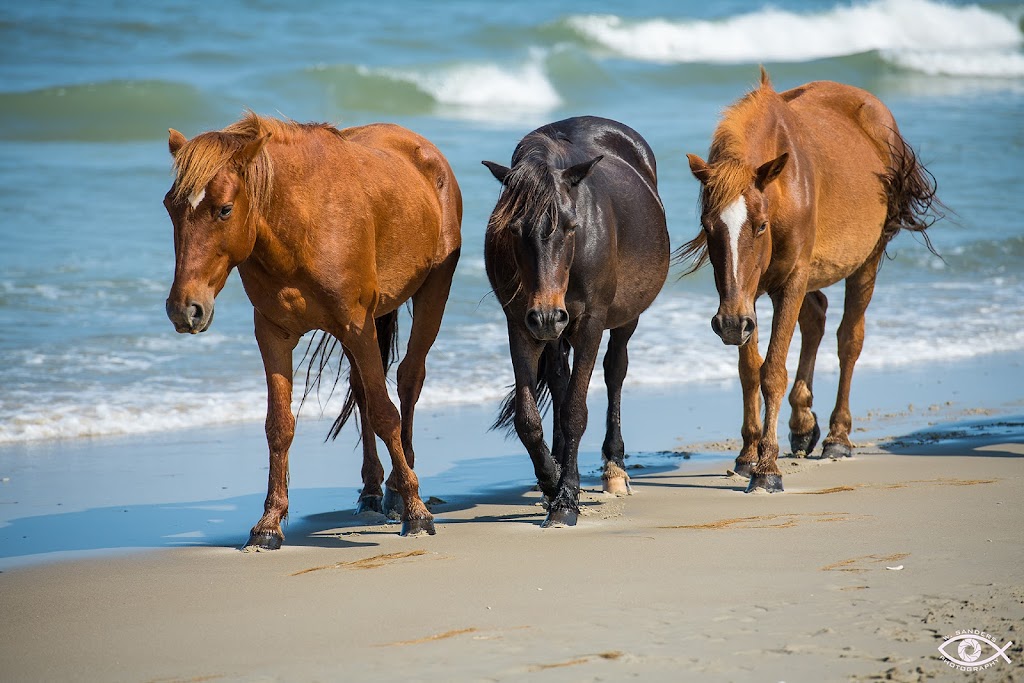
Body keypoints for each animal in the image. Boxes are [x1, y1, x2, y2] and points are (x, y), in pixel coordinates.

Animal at [162, 112, 460, 548]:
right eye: (170, 207)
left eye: (224, 209)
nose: (184, 309)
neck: (301, 225)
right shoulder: (273, 334)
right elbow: (279, 425)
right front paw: (268, 523)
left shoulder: (358, 326)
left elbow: (386, 413)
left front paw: (417, 512)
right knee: (362, 391)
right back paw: (373, 491)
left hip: (431, 294)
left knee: (408, 380)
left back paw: (396, 489)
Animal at [485, 114, 671, 528]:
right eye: (513, 229)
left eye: (571, 226)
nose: (547, 315)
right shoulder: (519, 322)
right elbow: (529, 418)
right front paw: (551, 479)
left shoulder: (589, 323)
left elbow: (575, 411)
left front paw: (566, 500)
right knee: (559, 379)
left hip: (621, 318)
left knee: (615, 371)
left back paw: (615, 469)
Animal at [679, 69, 937, 493]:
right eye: (708, 226)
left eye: (760, 225)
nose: (728, 324)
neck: (783, 191)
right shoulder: (745, 298)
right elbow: (749, 371)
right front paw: (748, 455)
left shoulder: (790, 282)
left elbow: (772, 372)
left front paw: (767, 469)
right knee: (815, 318)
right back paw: (802, 425)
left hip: (867, 261)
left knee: (849, 340)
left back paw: (837, 436)